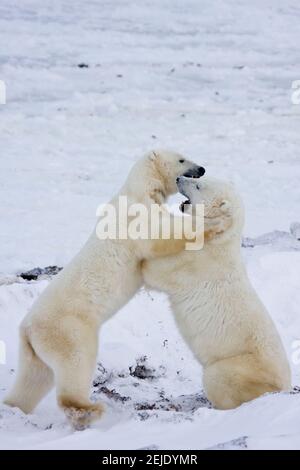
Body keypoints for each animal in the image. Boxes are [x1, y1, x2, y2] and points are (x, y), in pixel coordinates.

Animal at [4, 149, 205, 428]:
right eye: (182, 159)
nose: (202, 169)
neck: (139, 189)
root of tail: (27, 329)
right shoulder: (136, 217)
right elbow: (158, 237)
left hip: (34, 350)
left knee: (33, 379)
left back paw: (14, 407)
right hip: (70, 330)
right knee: (76, 364)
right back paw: (89, 409)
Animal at [142, 175, 290, 408]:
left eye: (198, 185)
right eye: (199, 177)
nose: (178, 178)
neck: (219, 239)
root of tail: (284, 387)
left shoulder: (196, 261)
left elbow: (158, 272)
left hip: (239, 366)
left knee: (217, 378)